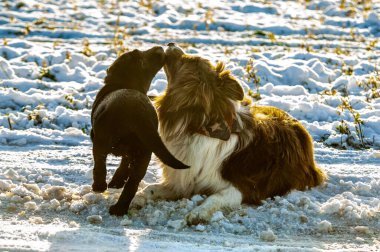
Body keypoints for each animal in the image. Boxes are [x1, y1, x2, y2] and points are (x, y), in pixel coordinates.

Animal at [91, 46, 189, 216]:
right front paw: (117, 181)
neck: (124, 83)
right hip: (145, 150)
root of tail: (136, 113)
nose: (159, 47)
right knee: (133, 182)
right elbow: (125, 164)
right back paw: (119, 208)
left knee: (101, 165)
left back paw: (100, 188)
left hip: (102, 141)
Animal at [134, 42, 326, 224]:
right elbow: (151, 188)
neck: (199, 128)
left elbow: (215, 196)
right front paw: (137, 197)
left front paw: (198, 212)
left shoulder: (245, 187)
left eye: (192, 60)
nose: (170, 43)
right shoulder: (184, 181)